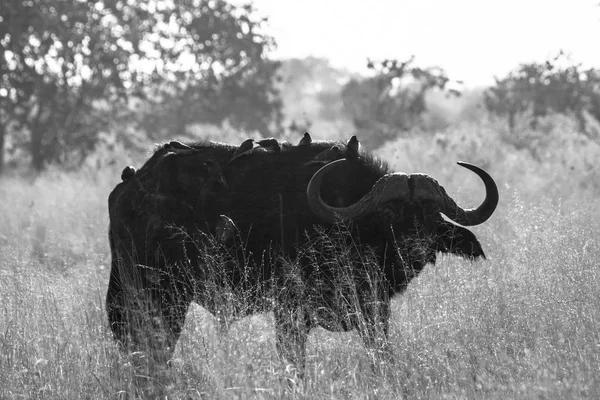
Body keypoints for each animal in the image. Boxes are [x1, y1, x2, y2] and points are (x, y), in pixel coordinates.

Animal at [106, 134, 496, 368]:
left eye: (431, 216)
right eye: (391, 214)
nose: (415, 249)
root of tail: (130, 187)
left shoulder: (375, 310)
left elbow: (380, 354)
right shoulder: (289, 313)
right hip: (159, 295)